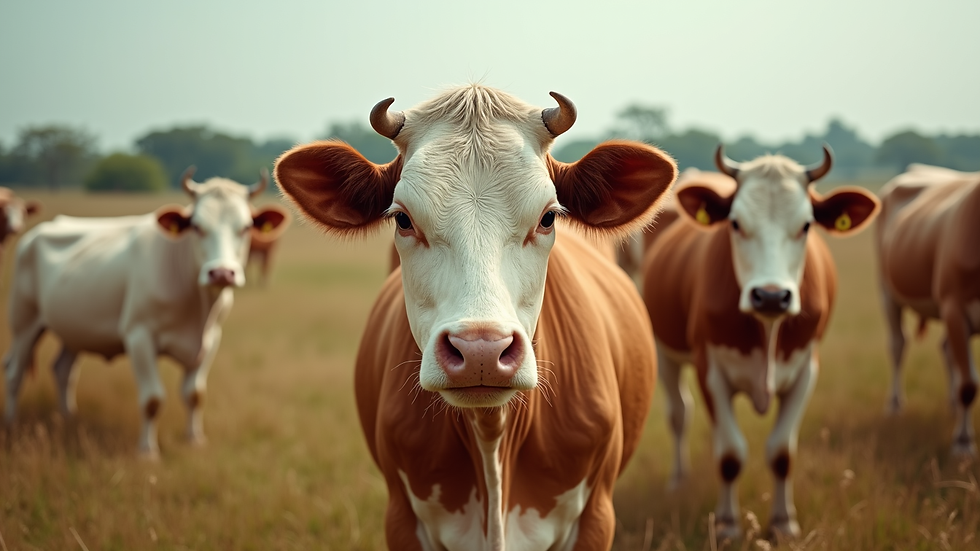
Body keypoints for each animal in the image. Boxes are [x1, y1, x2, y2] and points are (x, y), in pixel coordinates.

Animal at [3, 169, 287, 458]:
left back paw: (68, 417)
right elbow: (152, 400)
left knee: (63, 371)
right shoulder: (139, 337)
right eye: (197, 226)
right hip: (24, 321)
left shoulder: (210, 339)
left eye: (246, 227)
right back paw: (12, 423)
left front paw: (194, 439)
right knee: (15, 374)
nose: (221, 273)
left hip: (73, 329)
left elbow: (195, 395)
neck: (197, 306)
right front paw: (148, 451)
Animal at [274, 84, 677, 550]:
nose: (480, 349)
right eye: (403, 219)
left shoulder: (596, 516)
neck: (491, 439)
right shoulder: (401, 518)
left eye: (548, 217)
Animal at [643, 146, 879, 541]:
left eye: (806, 225)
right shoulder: (711, 371)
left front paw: (784, 522)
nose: (770, 296)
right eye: (736, 223)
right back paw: (678, 480)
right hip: (664, 352)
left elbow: (781, 453)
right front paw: (726, 524)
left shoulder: (805, 371)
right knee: (679, 414)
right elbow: (730, 454)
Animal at [876, 163, 980, 456]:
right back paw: (894, 405)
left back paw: (952, 405)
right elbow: (969, 385)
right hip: (887, 291)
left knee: (946, 350)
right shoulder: (954, 305)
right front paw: (963, 442)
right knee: (898, 345)